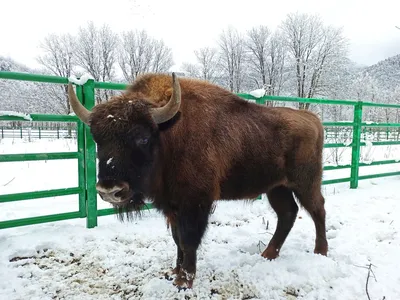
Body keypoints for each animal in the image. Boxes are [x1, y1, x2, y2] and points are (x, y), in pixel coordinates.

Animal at [66, 72, 328, 288]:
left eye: (142, 137)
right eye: (98, 138)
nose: (110, 190)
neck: (167, 133)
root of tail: (313, 119)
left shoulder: (195, 203)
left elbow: (189, 239)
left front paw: (185, 280)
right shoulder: (171, 206)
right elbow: (177, 240)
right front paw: (175, 271)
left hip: (305, 183)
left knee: (317, 210)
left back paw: (320, 252)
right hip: (277, 188)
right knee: (288, 214)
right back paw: (268, 254)